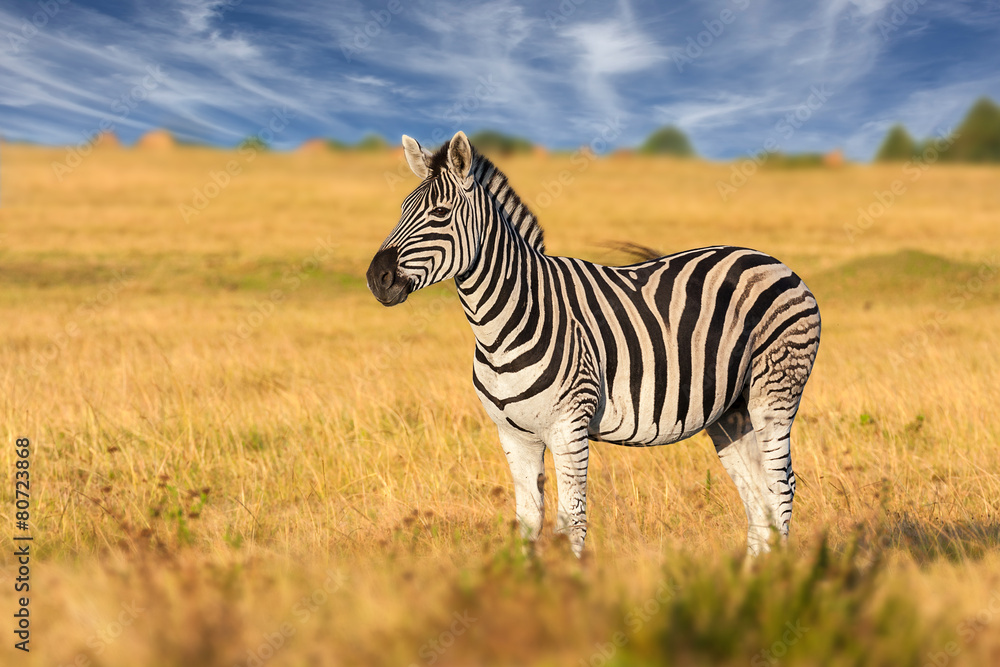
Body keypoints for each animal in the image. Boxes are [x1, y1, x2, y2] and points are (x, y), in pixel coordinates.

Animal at [367, 131, 821, 557]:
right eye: (403, 209)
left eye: (440, 214)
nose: (377, 278)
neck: (503, 323)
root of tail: (771, 260)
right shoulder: (513, 434)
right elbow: (528, 521)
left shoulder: (570, 426)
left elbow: (572, 522)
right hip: (730, 411)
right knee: (757, 495)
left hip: (774, 392)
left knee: (781, 488)